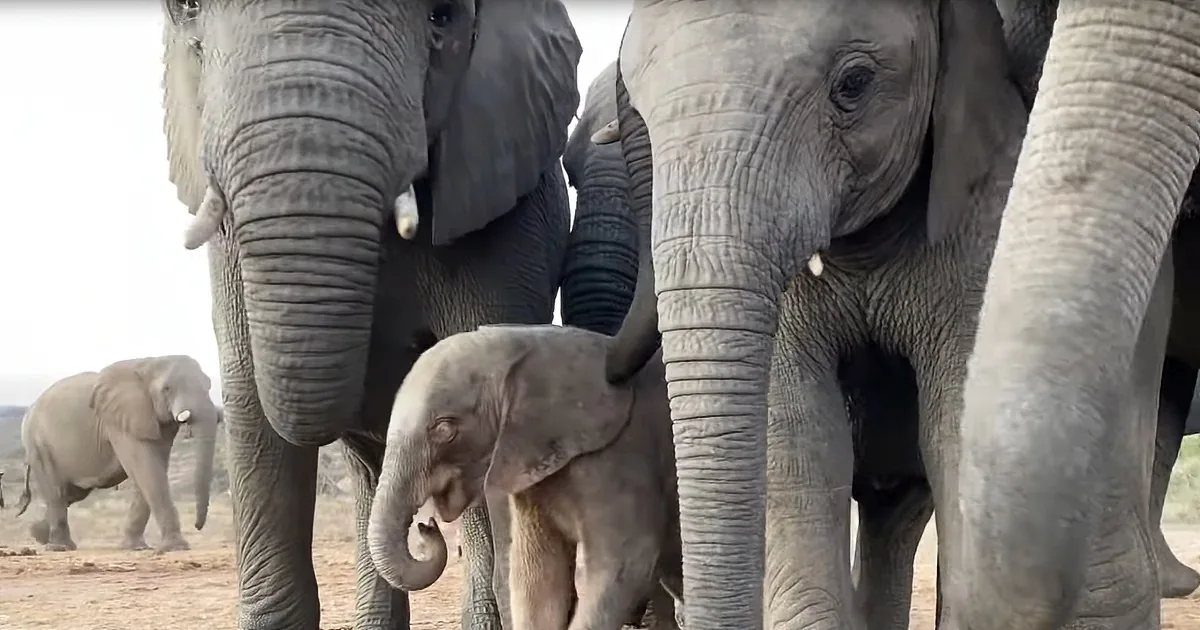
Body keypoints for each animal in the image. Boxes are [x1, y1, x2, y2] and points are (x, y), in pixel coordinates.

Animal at [13, 355, 220, 553]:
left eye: (209, 385)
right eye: (166, 389)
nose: (197, 526)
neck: (149, 362)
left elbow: (152, 470)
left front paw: (135, 547)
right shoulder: (117, 420)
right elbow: (146, 469)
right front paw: (175, 548)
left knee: (71, 494)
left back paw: (38, 534)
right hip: (38, 444)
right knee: (57, 492)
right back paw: (59, 547)